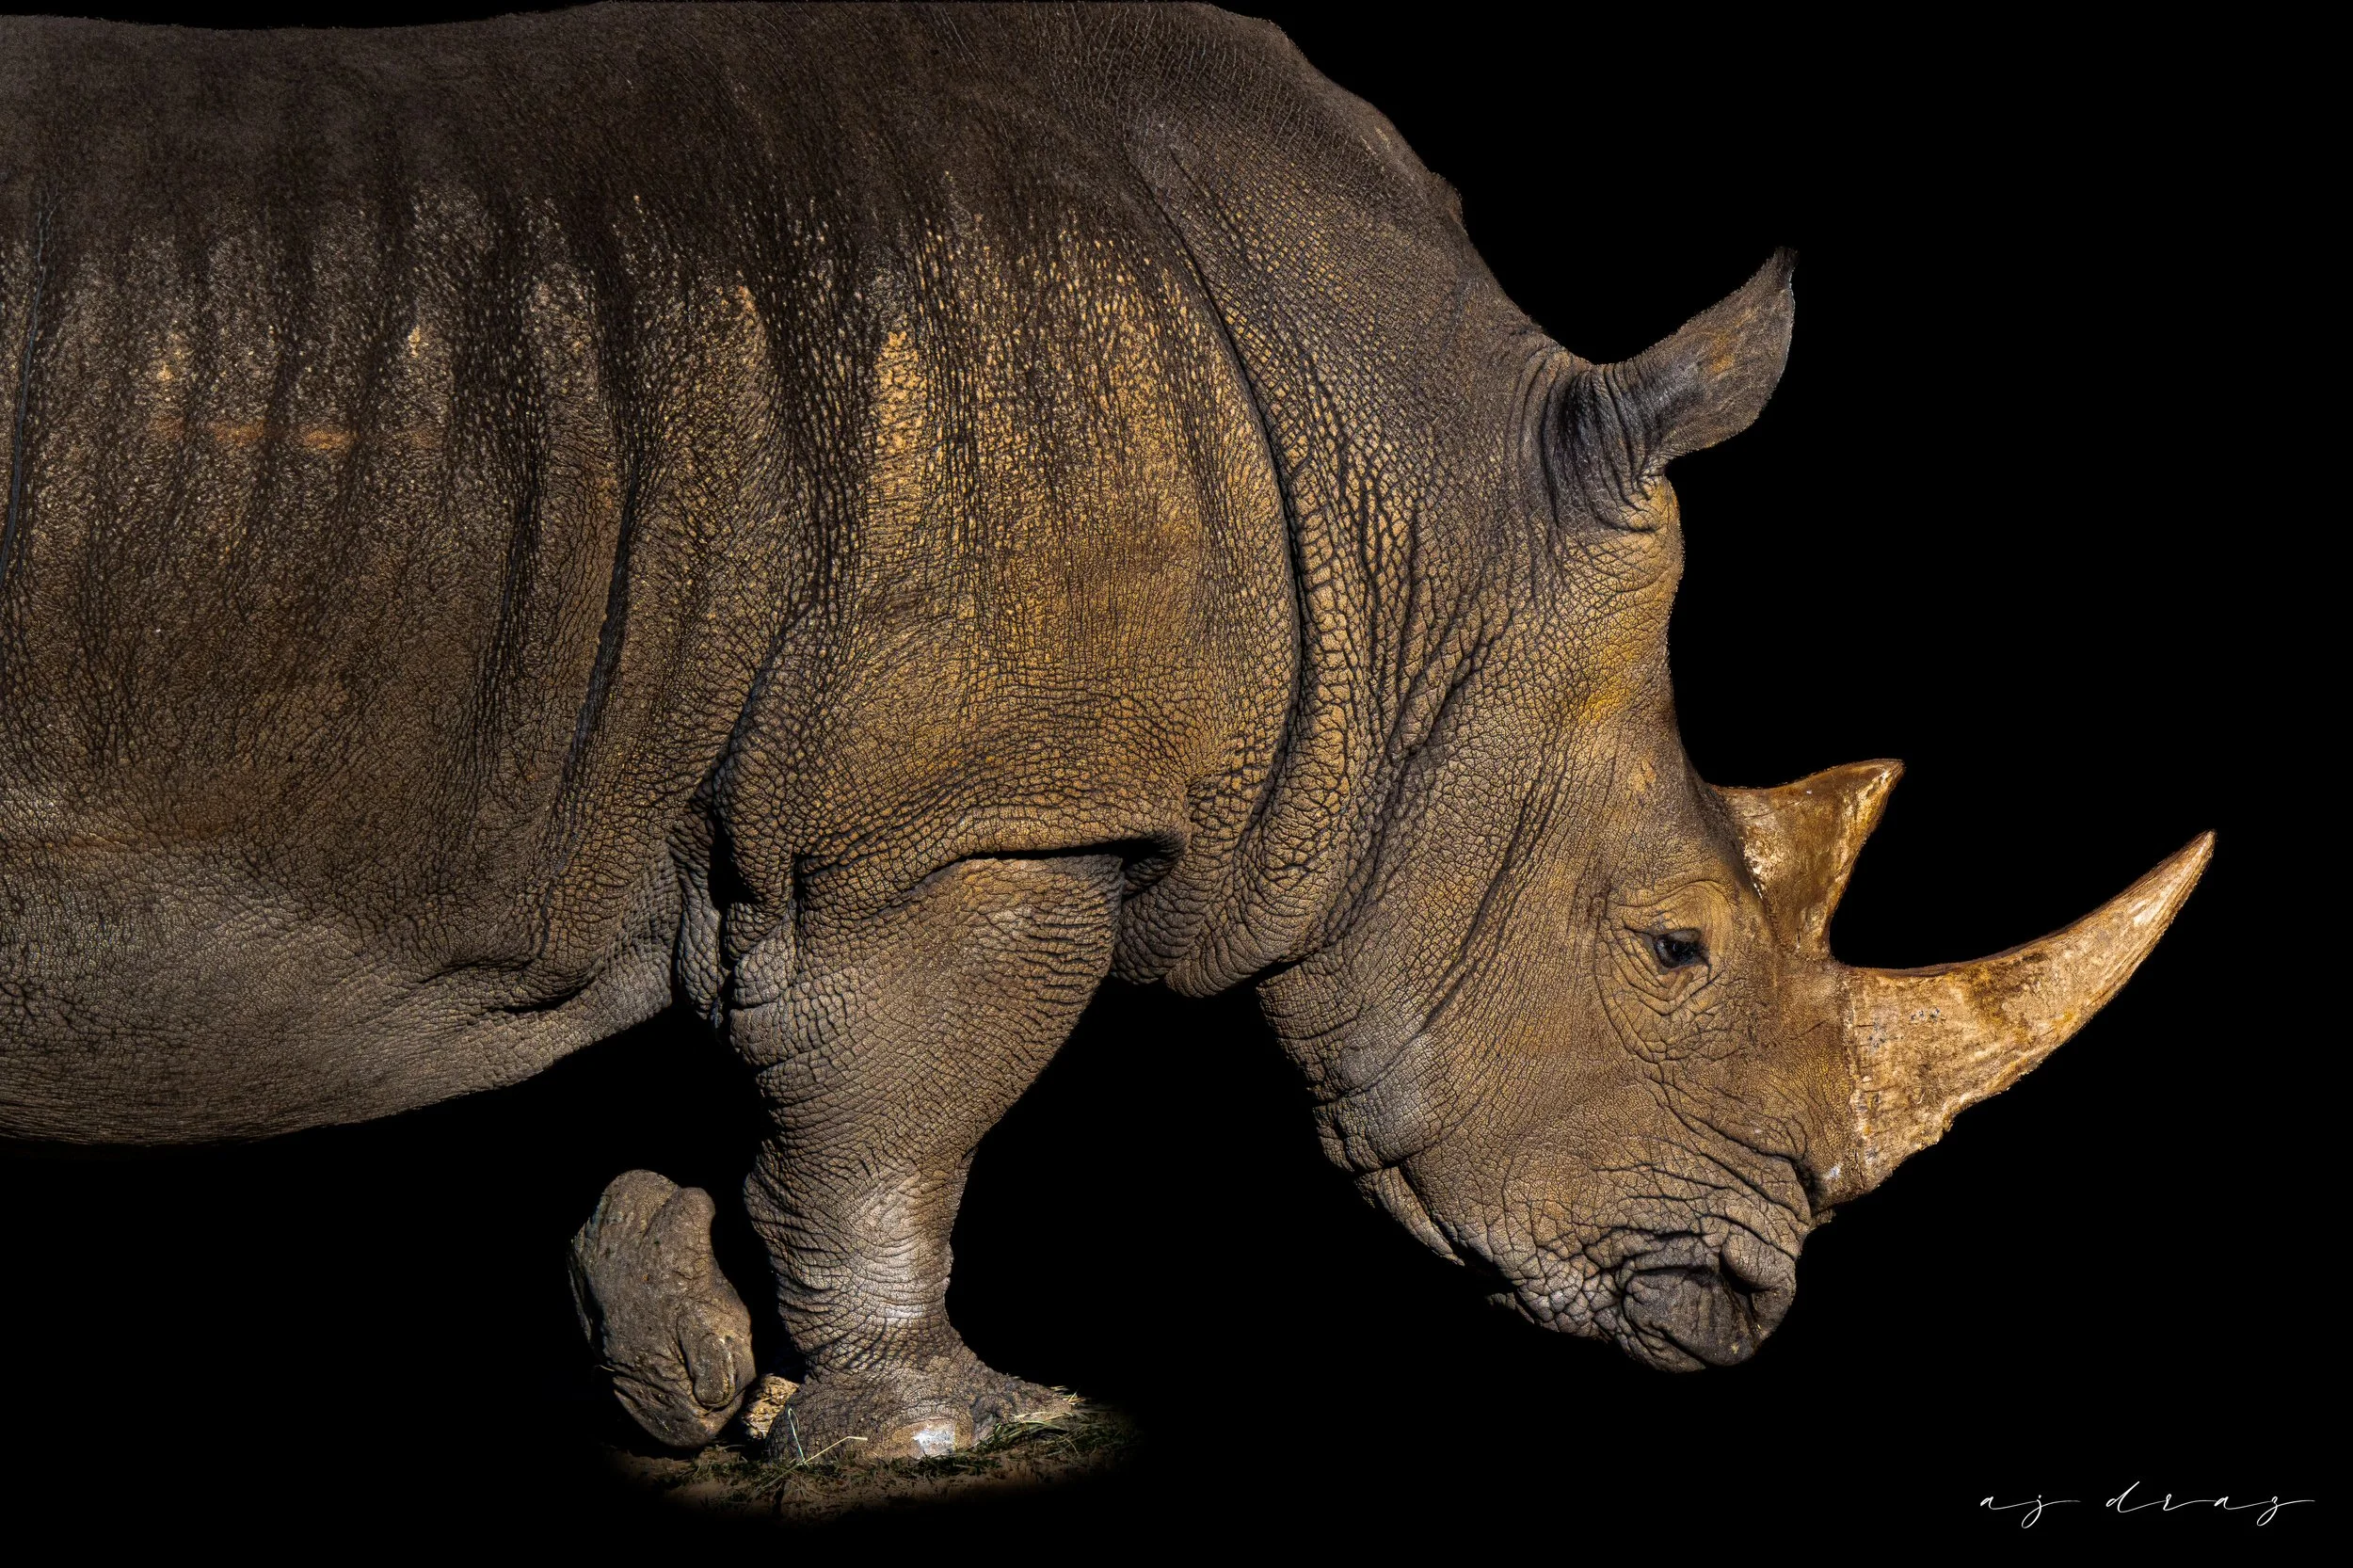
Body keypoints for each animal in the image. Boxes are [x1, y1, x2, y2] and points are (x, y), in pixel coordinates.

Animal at [0, 3, 2208, 1461]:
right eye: (1669, 943)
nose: (1741, 1303)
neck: (1426, 515)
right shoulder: (969, 816)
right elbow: (901, 1110)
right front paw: (953, 1420)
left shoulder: (919, 812)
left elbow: (859, 1111)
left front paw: (684, 1332)